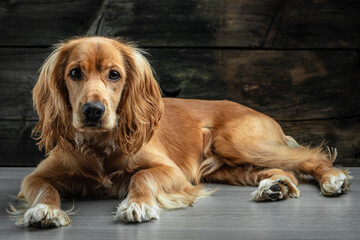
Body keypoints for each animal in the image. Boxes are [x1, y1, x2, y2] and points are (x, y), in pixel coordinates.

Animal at [9, 36, 352, 228]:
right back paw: (274, 187)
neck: (99, 146)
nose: (93, 110)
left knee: (308, 156)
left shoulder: (171, 171)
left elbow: (141, 176)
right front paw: (44, 210)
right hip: (228, 167)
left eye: (114, 74)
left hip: (238, 142)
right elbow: (43, 188)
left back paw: (332, 178)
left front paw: (137, 204)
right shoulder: (36, 176)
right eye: (75, 73)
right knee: (285, 171)